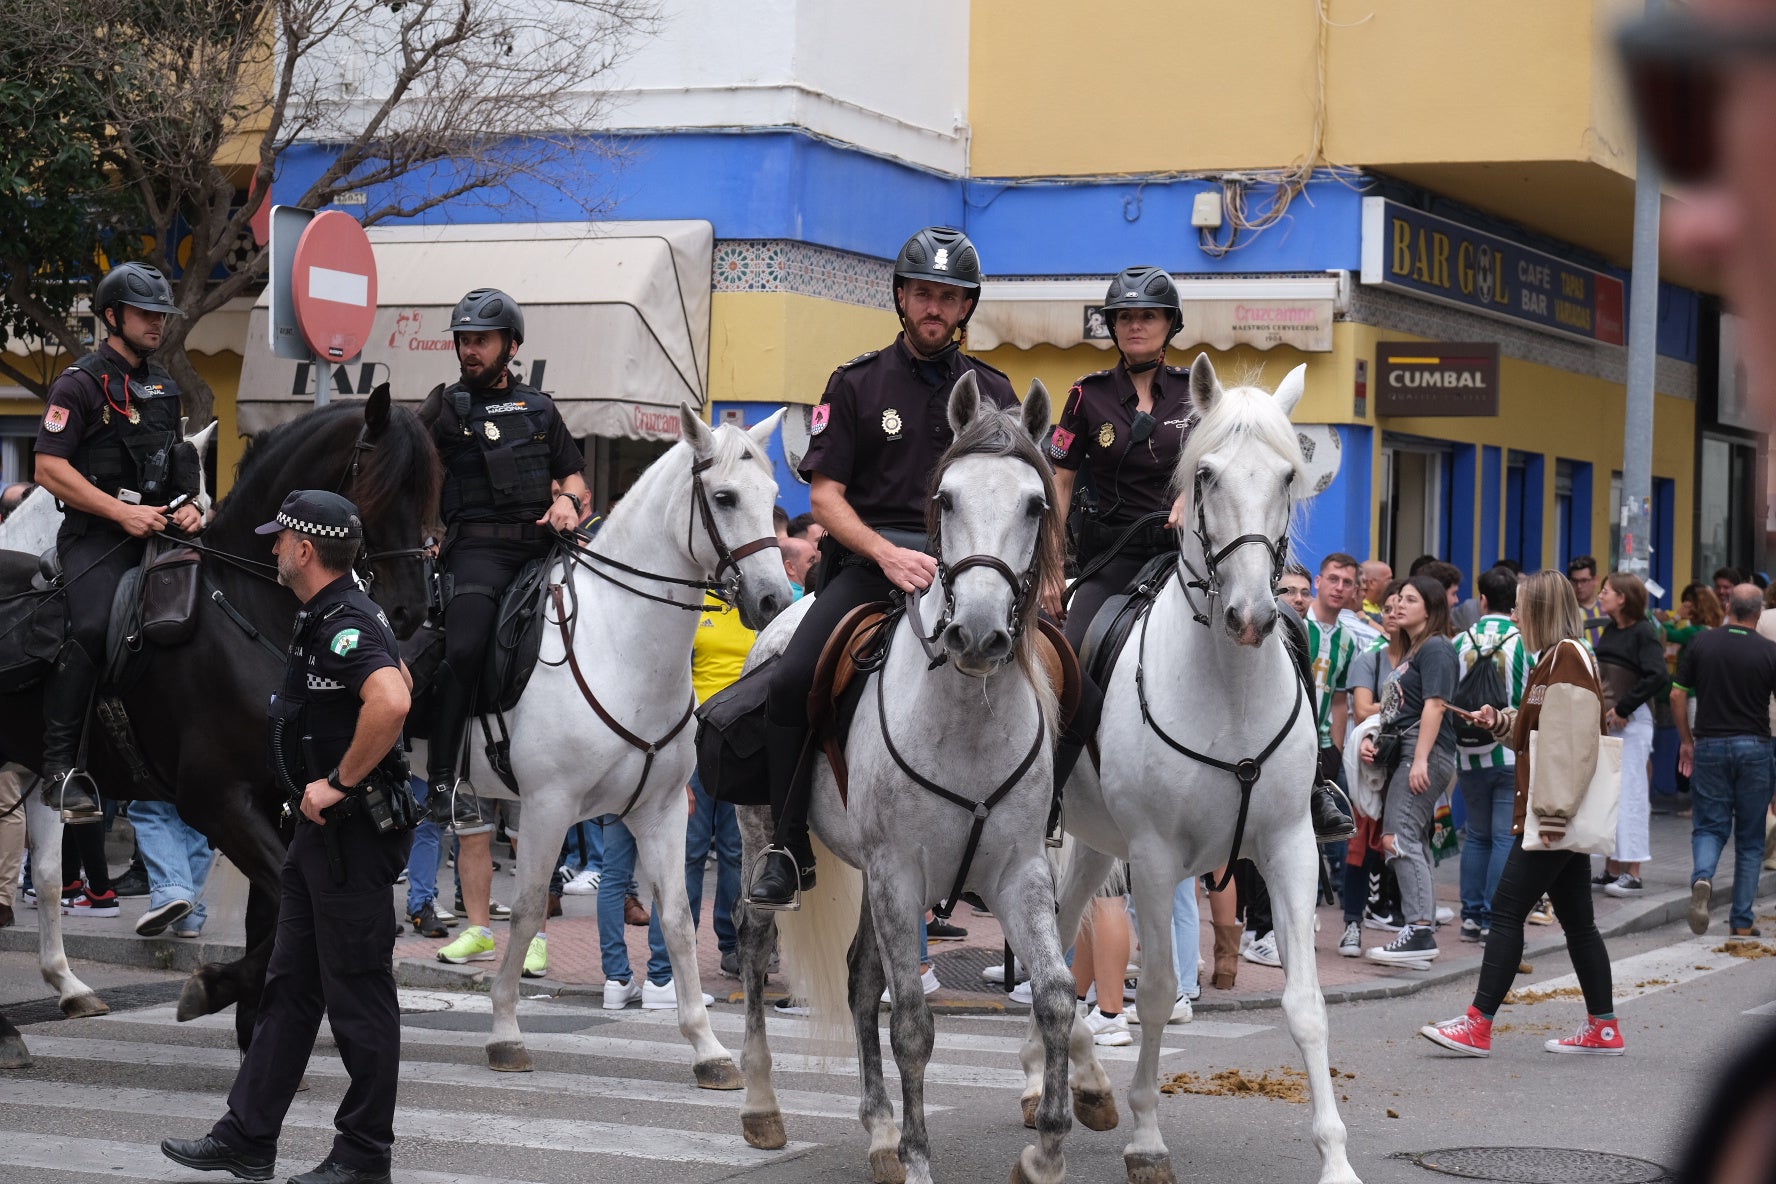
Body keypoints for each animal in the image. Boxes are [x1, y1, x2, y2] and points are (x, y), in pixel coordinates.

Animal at [0, 386, 438, 1065]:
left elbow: (278, 919)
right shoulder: (215, 799)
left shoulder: (281, 803)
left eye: (433, 492)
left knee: (44, 877)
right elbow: (284, 908)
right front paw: (214, 988)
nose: (411, 611)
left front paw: (249, 1019)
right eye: (380, 484)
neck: (251, 604)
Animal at [447, 404, 795, 1086]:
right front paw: (505, 1031)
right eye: (724, 497)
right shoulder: (549, 806)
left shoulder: (660, 810)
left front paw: (708, 1047)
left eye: (773, 497)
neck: (620, 644)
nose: (775, 600)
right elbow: (528, 907)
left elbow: (679, 919)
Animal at [728, 374, 1101, 1184]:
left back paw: (877, 1132)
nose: (979, 635)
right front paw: (922, 1157)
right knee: (754, 945)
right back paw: (763, 1106)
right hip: (771, 839)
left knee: (858, 979)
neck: (965, 715)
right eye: (948, 498)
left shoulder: (1017, 871)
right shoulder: (901, 873)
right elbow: (914, 1027)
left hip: (874, 876)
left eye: (1036, 504)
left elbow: (1057, 996)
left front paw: (1047, 1149)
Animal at [1037, 356, 1356, 1184]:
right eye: (1205, 475)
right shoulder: (1155, 858)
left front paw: (1335, 1158)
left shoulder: (1291, 847)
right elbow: (1152, 994)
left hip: (1095, 846)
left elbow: (1306, 1004)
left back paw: (1062, 1082)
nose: (1250, 616)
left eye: (1288, 474)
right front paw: (1147, 1137)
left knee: (1060, 942)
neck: (1228, 686)